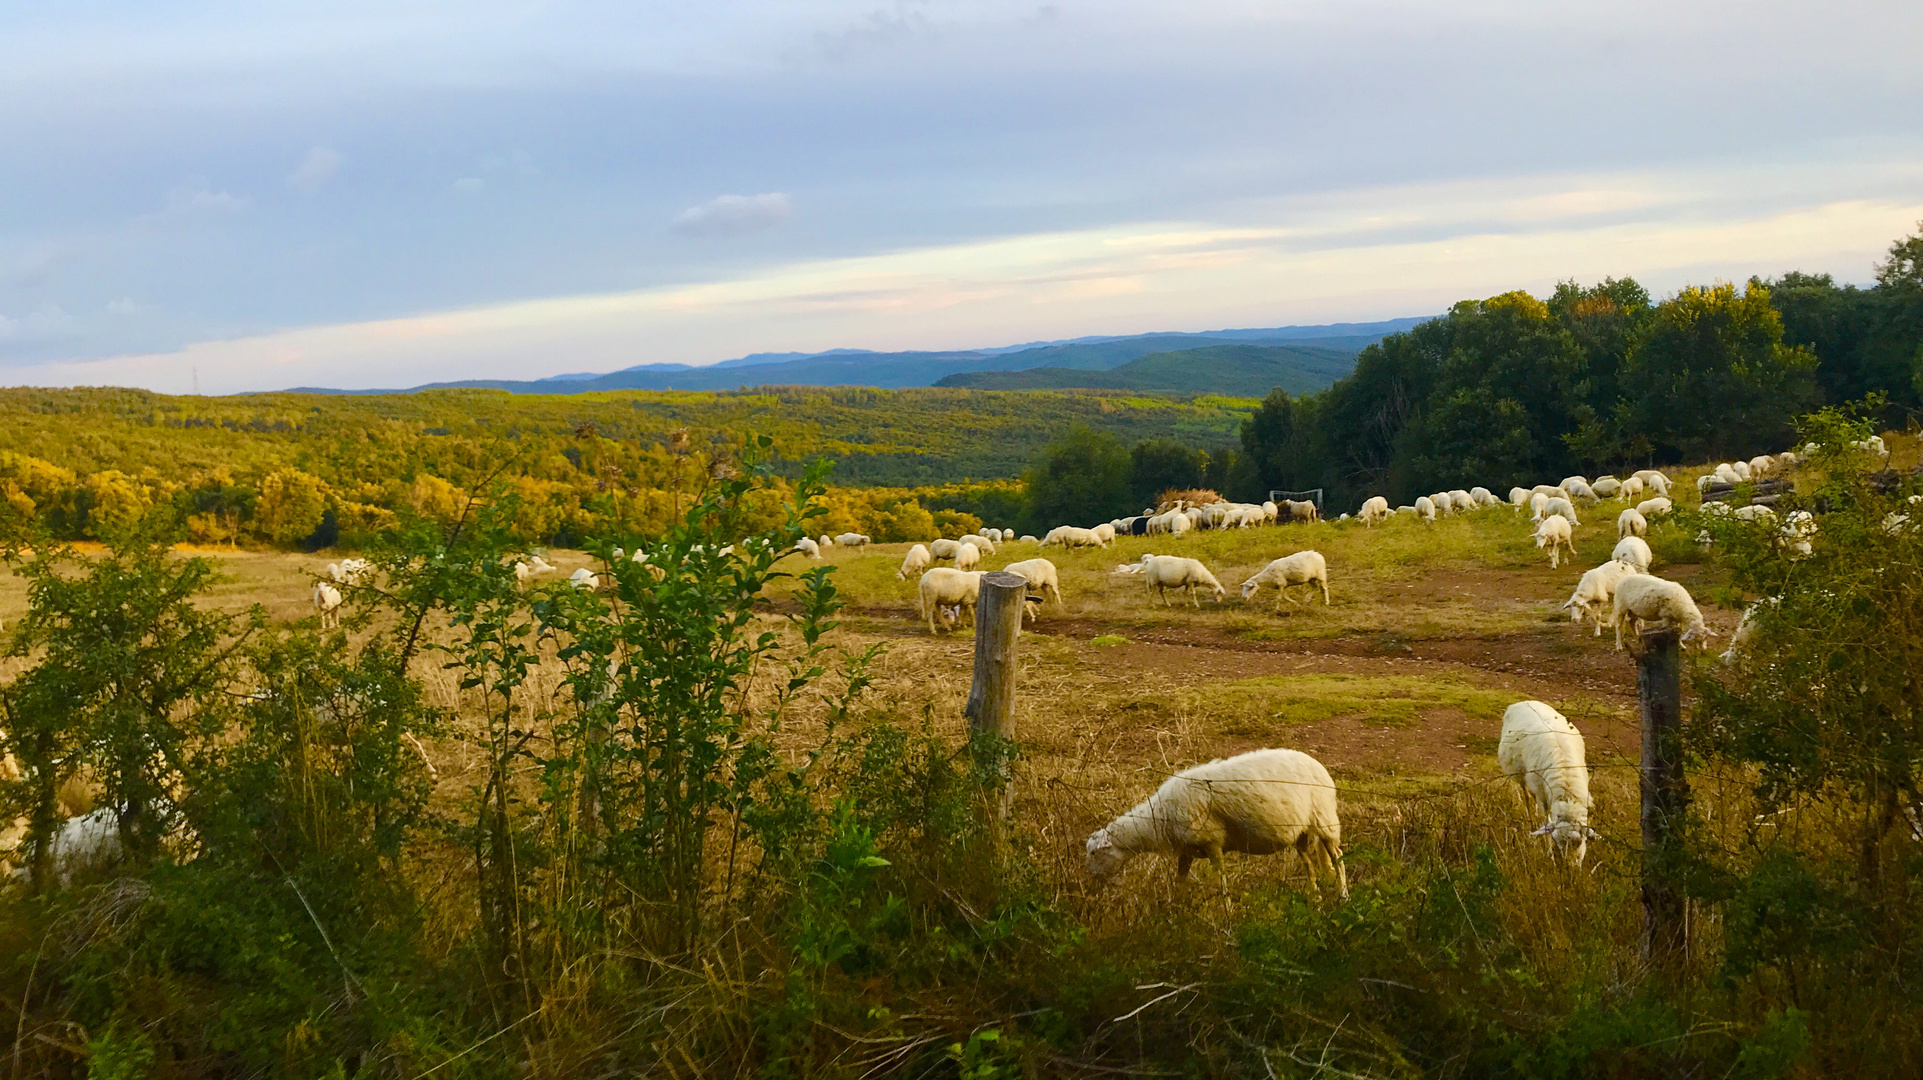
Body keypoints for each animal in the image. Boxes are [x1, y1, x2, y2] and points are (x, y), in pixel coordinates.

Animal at [1084, 749, 1353, 891]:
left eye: (1094, 853)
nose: (1090, 882)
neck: (1157, 818)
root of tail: (1319, 765)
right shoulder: (1187, 851)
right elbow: (1180, 882)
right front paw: (1174, 913)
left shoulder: (1213, 844)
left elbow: (1223, 886)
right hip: (1301, 833)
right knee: (1309, 866)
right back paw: (1315, 901)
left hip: (1325, 820)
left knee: (1338, 860)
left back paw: (1343, 897)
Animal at [1492, 699, 1599, 864]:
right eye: (1557, 842)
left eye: (1579, 842)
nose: (1569, 867)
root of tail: (1524, 701)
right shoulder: (1542, 794)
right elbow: (1544, 819)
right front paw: (1549, 854)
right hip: (1521, 775)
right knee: (1526, 796)